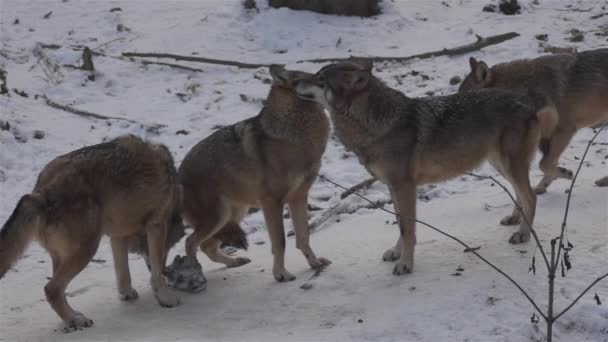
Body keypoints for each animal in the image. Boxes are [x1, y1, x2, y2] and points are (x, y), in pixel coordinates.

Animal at [2, 135, 183, 330]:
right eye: (168, 249)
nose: (167, 271)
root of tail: (39, 194)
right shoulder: (156, 224)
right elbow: (155, 273)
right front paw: (166, 297)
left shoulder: (117, 235)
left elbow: (123, 271)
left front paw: (126, 293)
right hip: (87, 250)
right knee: (51, 289)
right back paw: (75, 320)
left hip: (63, 256)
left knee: (59, 290)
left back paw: (72, 317)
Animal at [178, 65, 332, 282]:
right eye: (304, 79)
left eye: (316, 76)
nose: (326, 79)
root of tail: (177, 174)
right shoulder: (272, 201)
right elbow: (280, 242)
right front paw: (281, 274)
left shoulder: (299, 196)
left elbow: (304, 237)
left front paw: (314, 263)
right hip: (218, 217)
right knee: (191, 243)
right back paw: (196, 276)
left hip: (232, 215)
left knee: (206, 246)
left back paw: (234, 262)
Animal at [296, 60, 560, 276]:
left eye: (320, 78)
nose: (294, 81)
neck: (376, 123)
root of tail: (528, 103)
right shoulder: (393, 187)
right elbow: (400, 225)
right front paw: (396, 253)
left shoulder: (405, 187)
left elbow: (408, 229)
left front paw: (405, 264)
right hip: (501, 165)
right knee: (520, 194)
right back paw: (515, 220)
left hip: (508, 165)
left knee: (531, 196)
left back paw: (523, 234)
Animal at [460, 48, 608, 192]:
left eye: (469, 99)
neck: (525, 88)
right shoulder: (546, 139)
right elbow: (547, 165)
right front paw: (543, 186)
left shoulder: (564, 131)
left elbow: (544, 164)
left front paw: (564, 173)